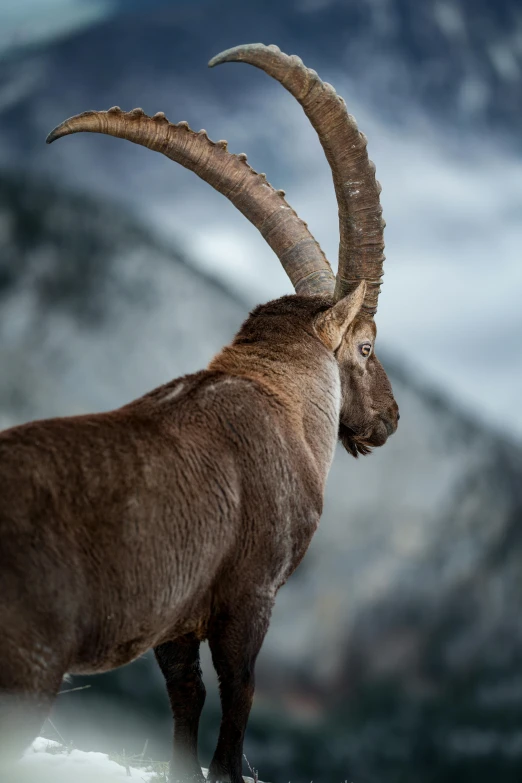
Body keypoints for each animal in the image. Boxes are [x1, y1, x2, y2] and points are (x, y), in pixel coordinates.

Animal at [1, 44, 398, 783]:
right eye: (364, 345)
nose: (389, 418)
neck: (279, 402)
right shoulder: (250, 595)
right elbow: (239, 692)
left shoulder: (175, 622)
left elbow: (185, 696)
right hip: (29, 663)